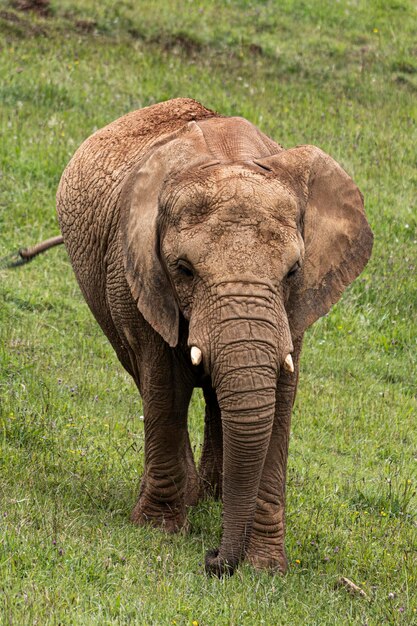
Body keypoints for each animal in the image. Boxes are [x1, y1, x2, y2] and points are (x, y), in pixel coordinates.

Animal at [56, 96, 374, 576]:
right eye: (184, 269)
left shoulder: (294, 308)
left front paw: (265, 568)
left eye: (293, 271)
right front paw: (159, 530)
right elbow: (164, 386)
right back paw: (194, 498)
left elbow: (280, 398)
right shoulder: (139, 280)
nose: (215, 561)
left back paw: (211, 499)